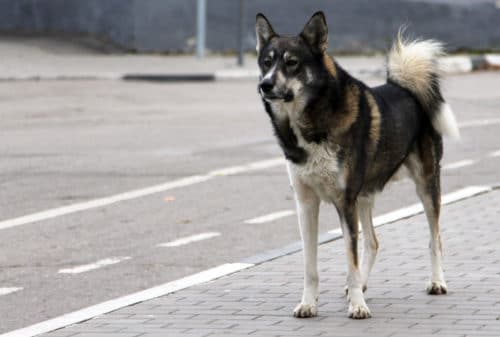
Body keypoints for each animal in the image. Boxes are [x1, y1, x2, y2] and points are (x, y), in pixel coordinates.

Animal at [256, 11, 458, 318]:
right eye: (267, 62)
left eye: (292, 63)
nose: (265, 84)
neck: (313, 122)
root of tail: (405, 87)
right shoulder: (307, 204)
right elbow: (310, 265)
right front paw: (308, 304)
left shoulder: (345, 201)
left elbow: (350, 260)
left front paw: (358, 306)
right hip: (364, 196)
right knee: (373, 242)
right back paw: (361, 286)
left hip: (426, 185)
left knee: (435, 238)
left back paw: (437, 282)